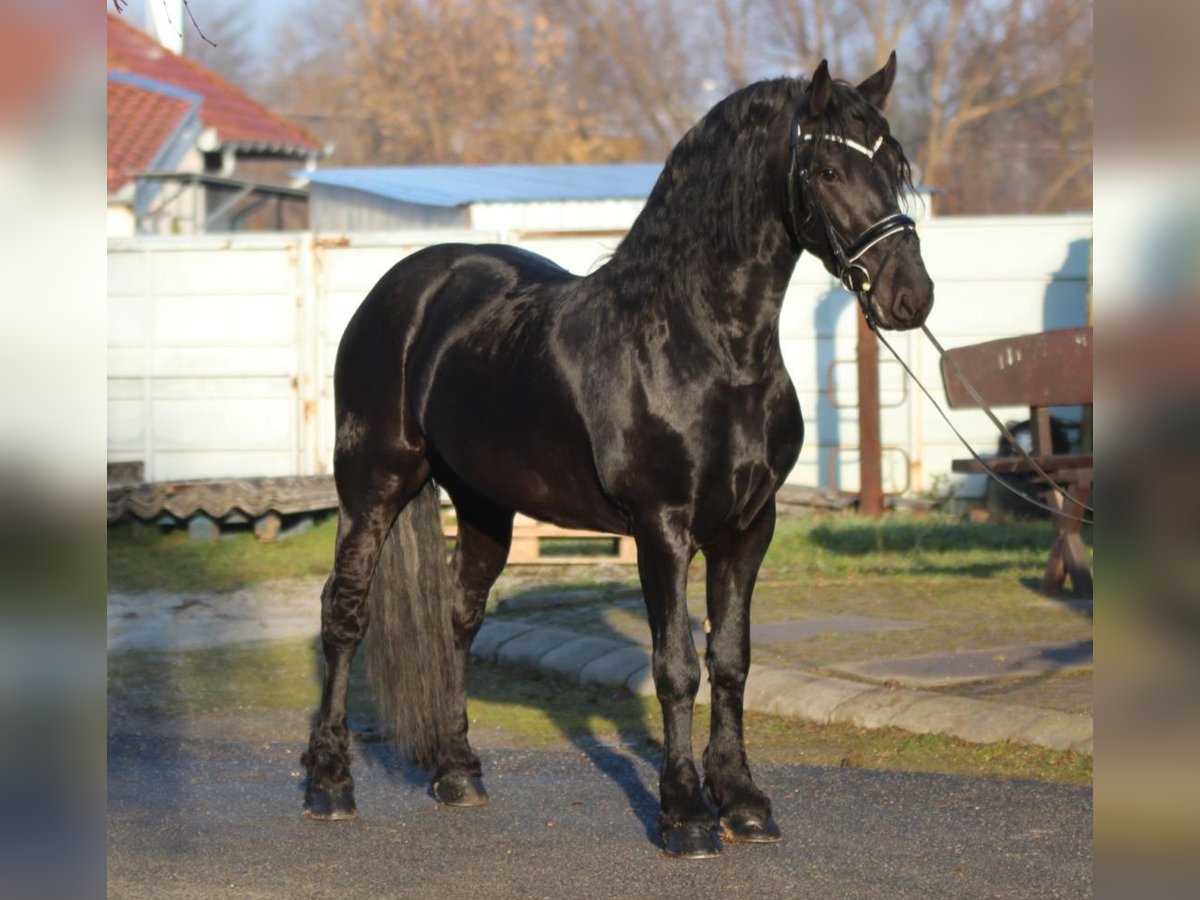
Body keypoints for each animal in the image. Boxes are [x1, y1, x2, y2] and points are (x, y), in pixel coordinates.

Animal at [302, 54, 936, 859]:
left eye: (893, 164)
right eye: (825, 168)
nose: (910, 296)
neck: (700, 346)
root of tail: (406, 286)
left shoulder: (748, 529)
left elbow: (732, 662)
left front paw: (744, 803)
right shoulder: (662, 528)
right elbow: (676, 668)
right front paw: (686, 814)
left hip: (482, 503)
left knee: (459, 619)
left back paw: (457, 772)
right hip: (373, 484)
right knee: (344, 613)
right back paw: (328, 783)